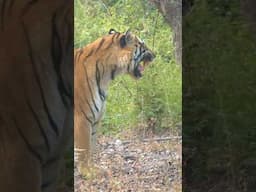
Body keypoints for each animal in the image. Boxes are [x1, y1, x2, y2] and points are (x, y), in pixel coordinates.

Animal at [74, 28, 154, 174]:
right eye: (143, 45)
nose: (155, 55)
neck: (105, 77)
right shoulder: (82, 118)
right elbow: (84, 148)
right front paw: (87, 172)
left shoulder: (96, 118)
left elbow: (91, 146)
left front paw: (93, 168)